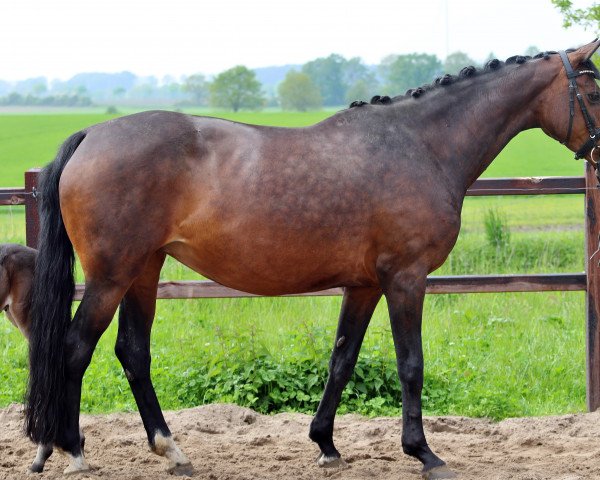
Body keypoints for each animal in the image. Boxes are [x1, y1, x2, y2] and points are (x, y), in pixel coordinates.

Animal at [24, 41, 600, 480]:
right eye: (593, 91)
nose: (599, 152)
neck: (421, 145)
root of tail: (92, 135)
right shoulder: (406, 278)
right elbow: (411, 364)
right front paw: (424, 452)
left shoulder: (365, 284)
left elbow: (342, 358)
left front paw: (326, 444)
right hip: (111, 275)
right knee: (75, 348)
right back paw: (70, 449)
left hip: (144, 270)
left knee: (133, 352)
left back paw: (170, 450)